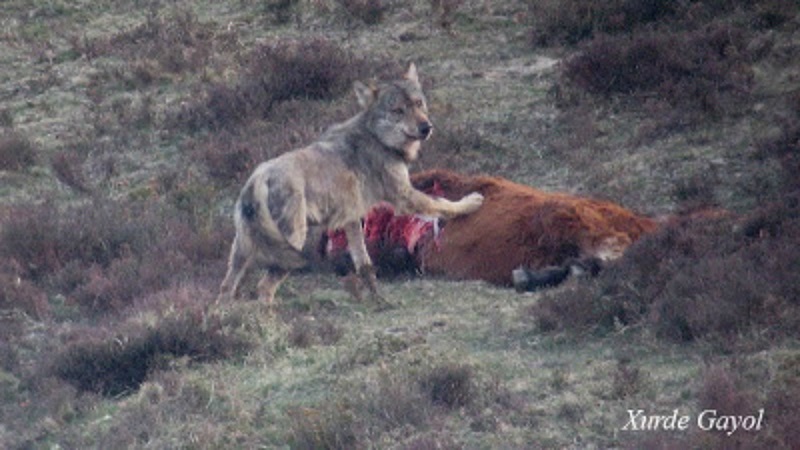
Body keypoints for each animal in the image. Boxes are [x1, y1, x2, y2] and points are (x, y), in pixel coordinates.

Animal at [216, 63, 484, 308]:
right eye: (398, 110)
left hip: (244, 252)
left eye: (419, 104)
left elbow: (364, 265)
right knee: (263, 286)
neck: (379, 139)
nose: (426, 127)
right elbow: (444, 203)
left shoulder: (351, 219)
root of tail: (257, 178)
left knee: (229, 288)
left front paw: (379, 300)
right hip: (293, 246)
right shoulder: (404, 197)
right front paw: (472, 202)